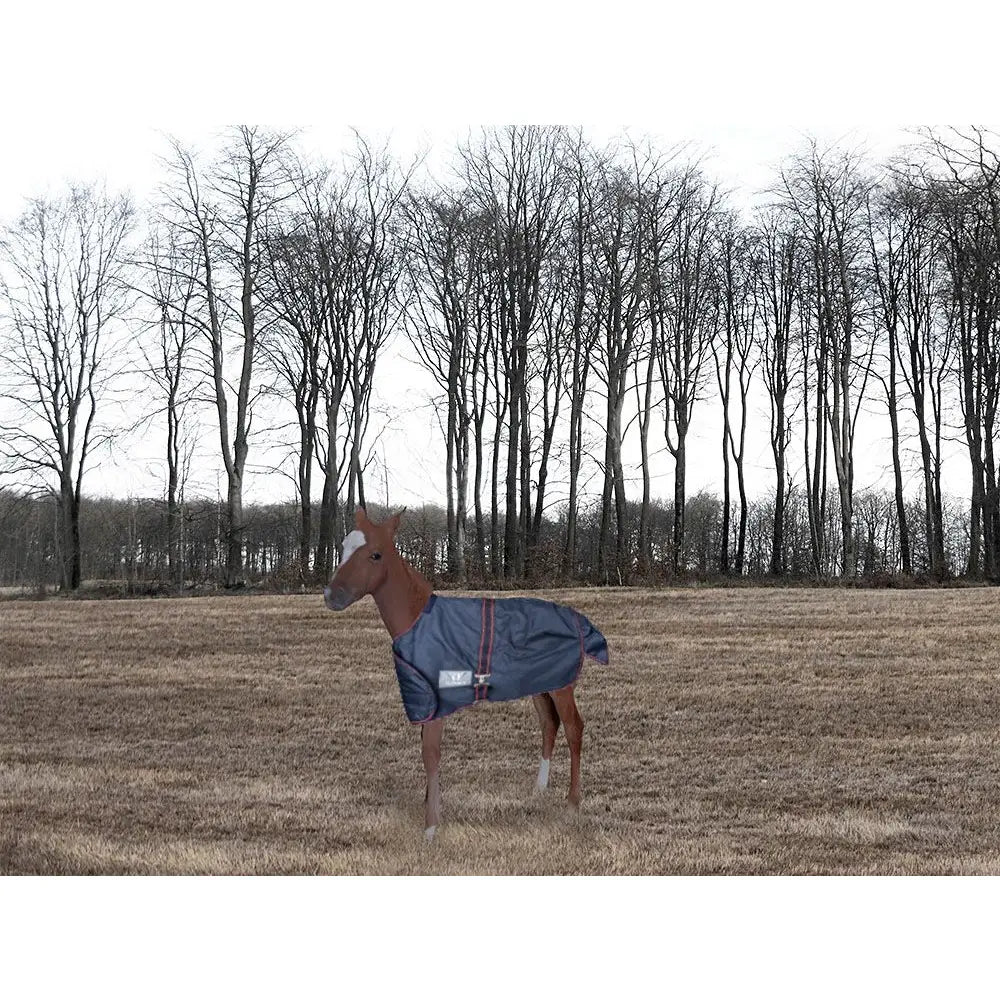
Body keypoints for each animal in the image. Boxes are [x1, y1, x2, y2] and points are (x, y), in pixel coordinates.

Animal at [323, 507, 610, 841]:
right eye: (343, 548)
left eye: (375, 554)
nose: (332, 595)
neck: (419, 621)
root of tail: (580, 622)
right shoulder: (425, 700)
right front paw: (429, 806)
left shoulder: (437, 699)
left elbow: (431, 754)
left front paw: (431, 827)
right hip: (541, 683)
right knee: (549, 724)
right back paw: (539, 790)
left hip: (562, 685)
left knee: (574, 727)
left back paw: (573, 802)